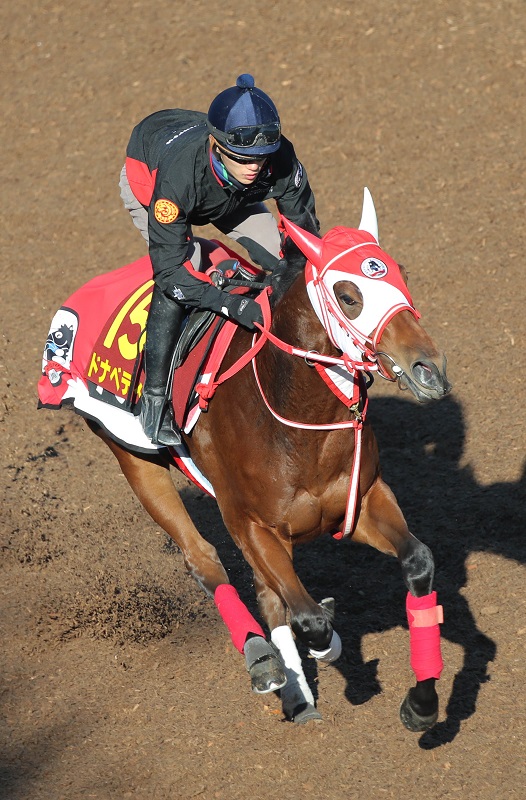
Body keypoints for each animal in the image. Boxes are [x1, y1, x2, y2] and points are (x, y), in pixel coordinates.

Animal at [40, 191, 454, 728]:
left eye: (400, 273)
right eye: (347, 295)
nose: (428, 368)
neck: (296, 416)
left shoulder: (360, 501)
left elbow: (418, 562)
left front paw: (422, 704)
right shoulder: (249, 523)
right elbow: (310, 618)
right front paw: (324, 645)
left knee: (265, 591)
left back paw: (297, 694)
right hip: (134, 458)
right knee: (204, 559)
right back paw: (264, 660)